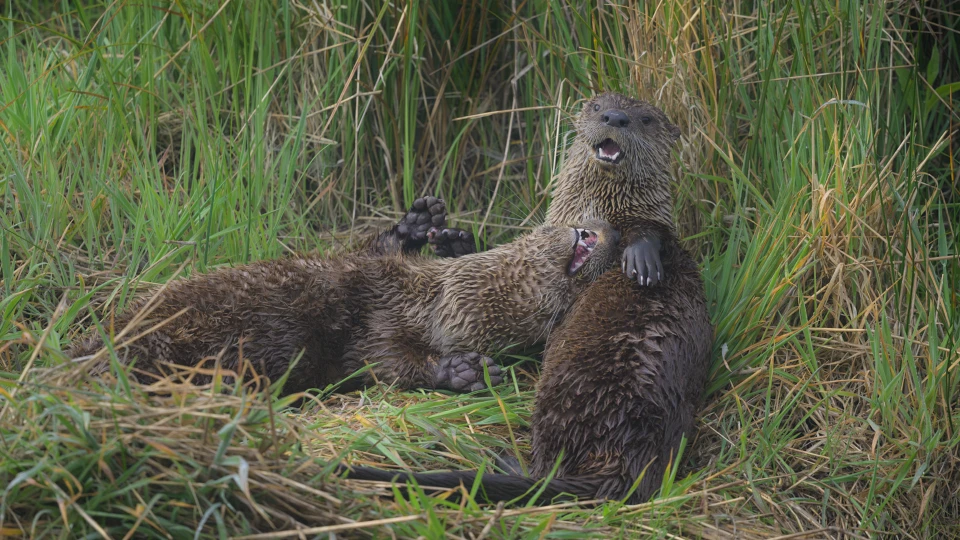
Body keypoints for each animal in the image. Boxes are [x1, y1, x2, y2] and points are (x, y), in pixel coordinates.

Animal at [69, 204, 619, 395]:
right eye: (544, 229)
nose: (587, 231)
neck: (426, 299)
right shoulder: (378, 312)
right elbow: (378, 359)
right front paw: (463, 370)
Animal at [340, 94, 713, 504]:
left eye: (645, 119)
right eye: (598, 106)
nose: (616, 118)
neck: (599, 210)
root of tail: (623, 457)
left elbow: (650, 233)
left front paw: (641, 256)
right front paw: (455, 241)